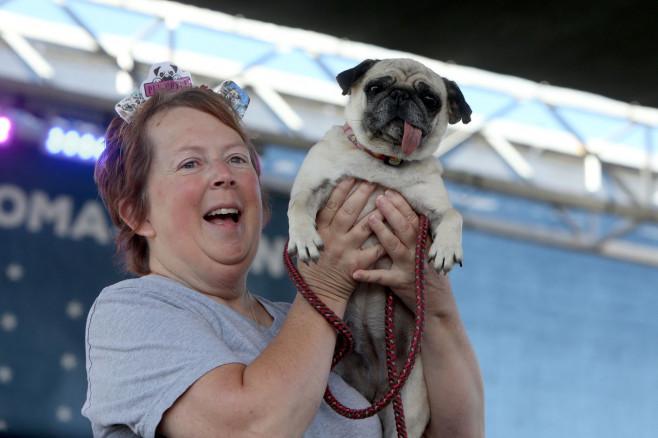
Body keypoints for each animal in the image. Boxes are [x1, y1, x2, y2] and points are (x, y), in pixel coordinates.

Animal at [286, 58, 466, 438]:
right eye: (376, 87)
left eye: (430, 100)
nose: (400, 95)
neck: (383, 162)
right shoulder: (314, 186)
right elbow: (298, 205)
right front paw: (304, 239)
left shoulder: (433, 209)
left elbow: (454, 214)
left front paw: (446, 249)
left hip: (406, 405)